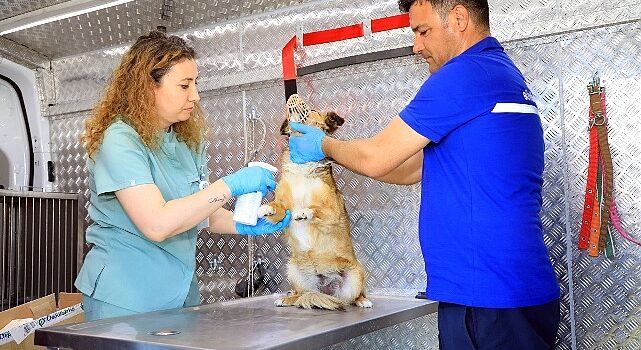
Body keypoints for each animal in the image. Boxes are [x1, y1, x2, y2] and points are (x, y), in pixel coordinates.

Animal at [258, 102, 372, 310]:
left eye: (311, 111)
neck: (301, 170)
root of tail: (326, 289)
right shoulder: (284, 207)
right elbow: (277, 207)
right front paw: (266, 208)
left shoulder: (333, 211)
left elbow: (316, 209)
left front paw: (304, 212)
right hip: (293, 269)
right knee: (301, 294)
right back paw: (287, 299)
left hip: (356, 273)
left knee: (352, 296)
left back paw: (363, 300)